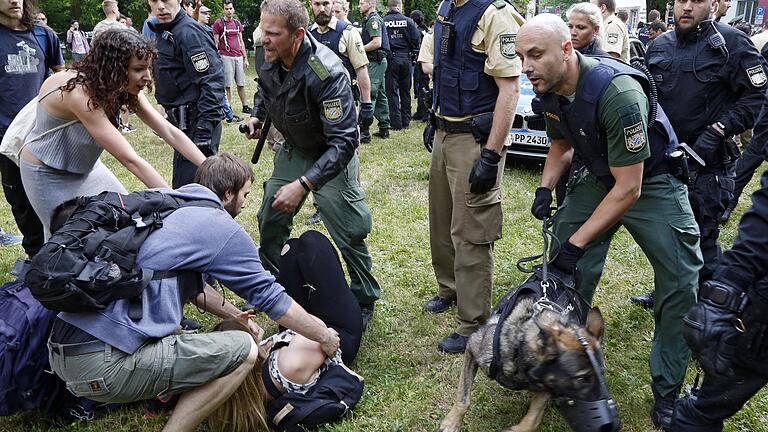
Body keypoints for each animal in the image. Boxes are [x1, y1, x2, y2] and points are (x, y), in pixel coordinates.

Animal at [438, 272, 616, 430]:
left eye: (601, 374)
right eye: (581, 379)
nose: (611, 423)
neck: (519, 350)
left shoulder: (548, 387)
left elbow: (533, 419)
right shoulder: (472, 349)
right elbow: (463, 398)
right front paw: (451, 423)